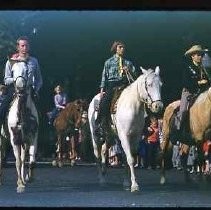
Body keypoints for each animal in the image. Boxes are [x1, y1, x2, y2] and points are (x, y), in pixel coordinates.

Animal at [6, 64, 39, 194]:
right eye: (13, 70)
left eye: (27, 70)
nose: (20, 88)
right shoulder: (14, 140)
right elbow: (18, 161)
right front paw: (20, 184)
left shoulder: (33, 137)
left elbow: (31, 160)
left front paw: (28, 178)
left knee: (24, 157)